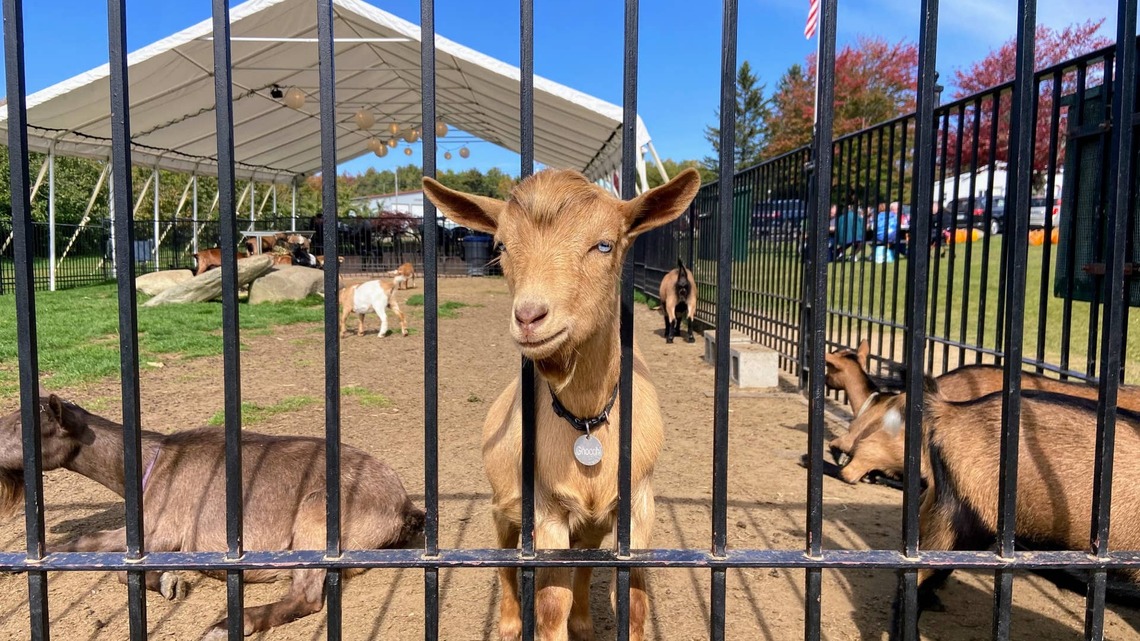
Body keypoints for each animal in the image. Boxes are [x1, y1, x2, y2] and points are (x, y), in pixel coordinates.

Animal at [0, 390, 424, 640]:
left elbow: (125, 572)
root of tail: (402, 506)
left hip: (316, 515)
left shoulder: (163, 533)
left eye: (20, 427)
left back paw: (229, 623)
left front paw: (170, 582)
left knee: (305, 596)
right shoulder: (138, 531)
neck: (149, 464)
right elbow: (85, 540)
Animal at [422, 167, 701, 641]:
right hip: (503, 504)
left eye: (604, 244)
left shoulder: (638, 506)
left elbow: (634, 604)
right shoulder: (546, 510)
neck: (587, 419)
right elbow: (551, 603)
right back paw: (510, 623)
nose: (529, 316)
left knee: (583, 563)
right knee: (505, 557)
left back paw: (584, 623)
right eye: (501, 246)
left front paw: (588, 620)